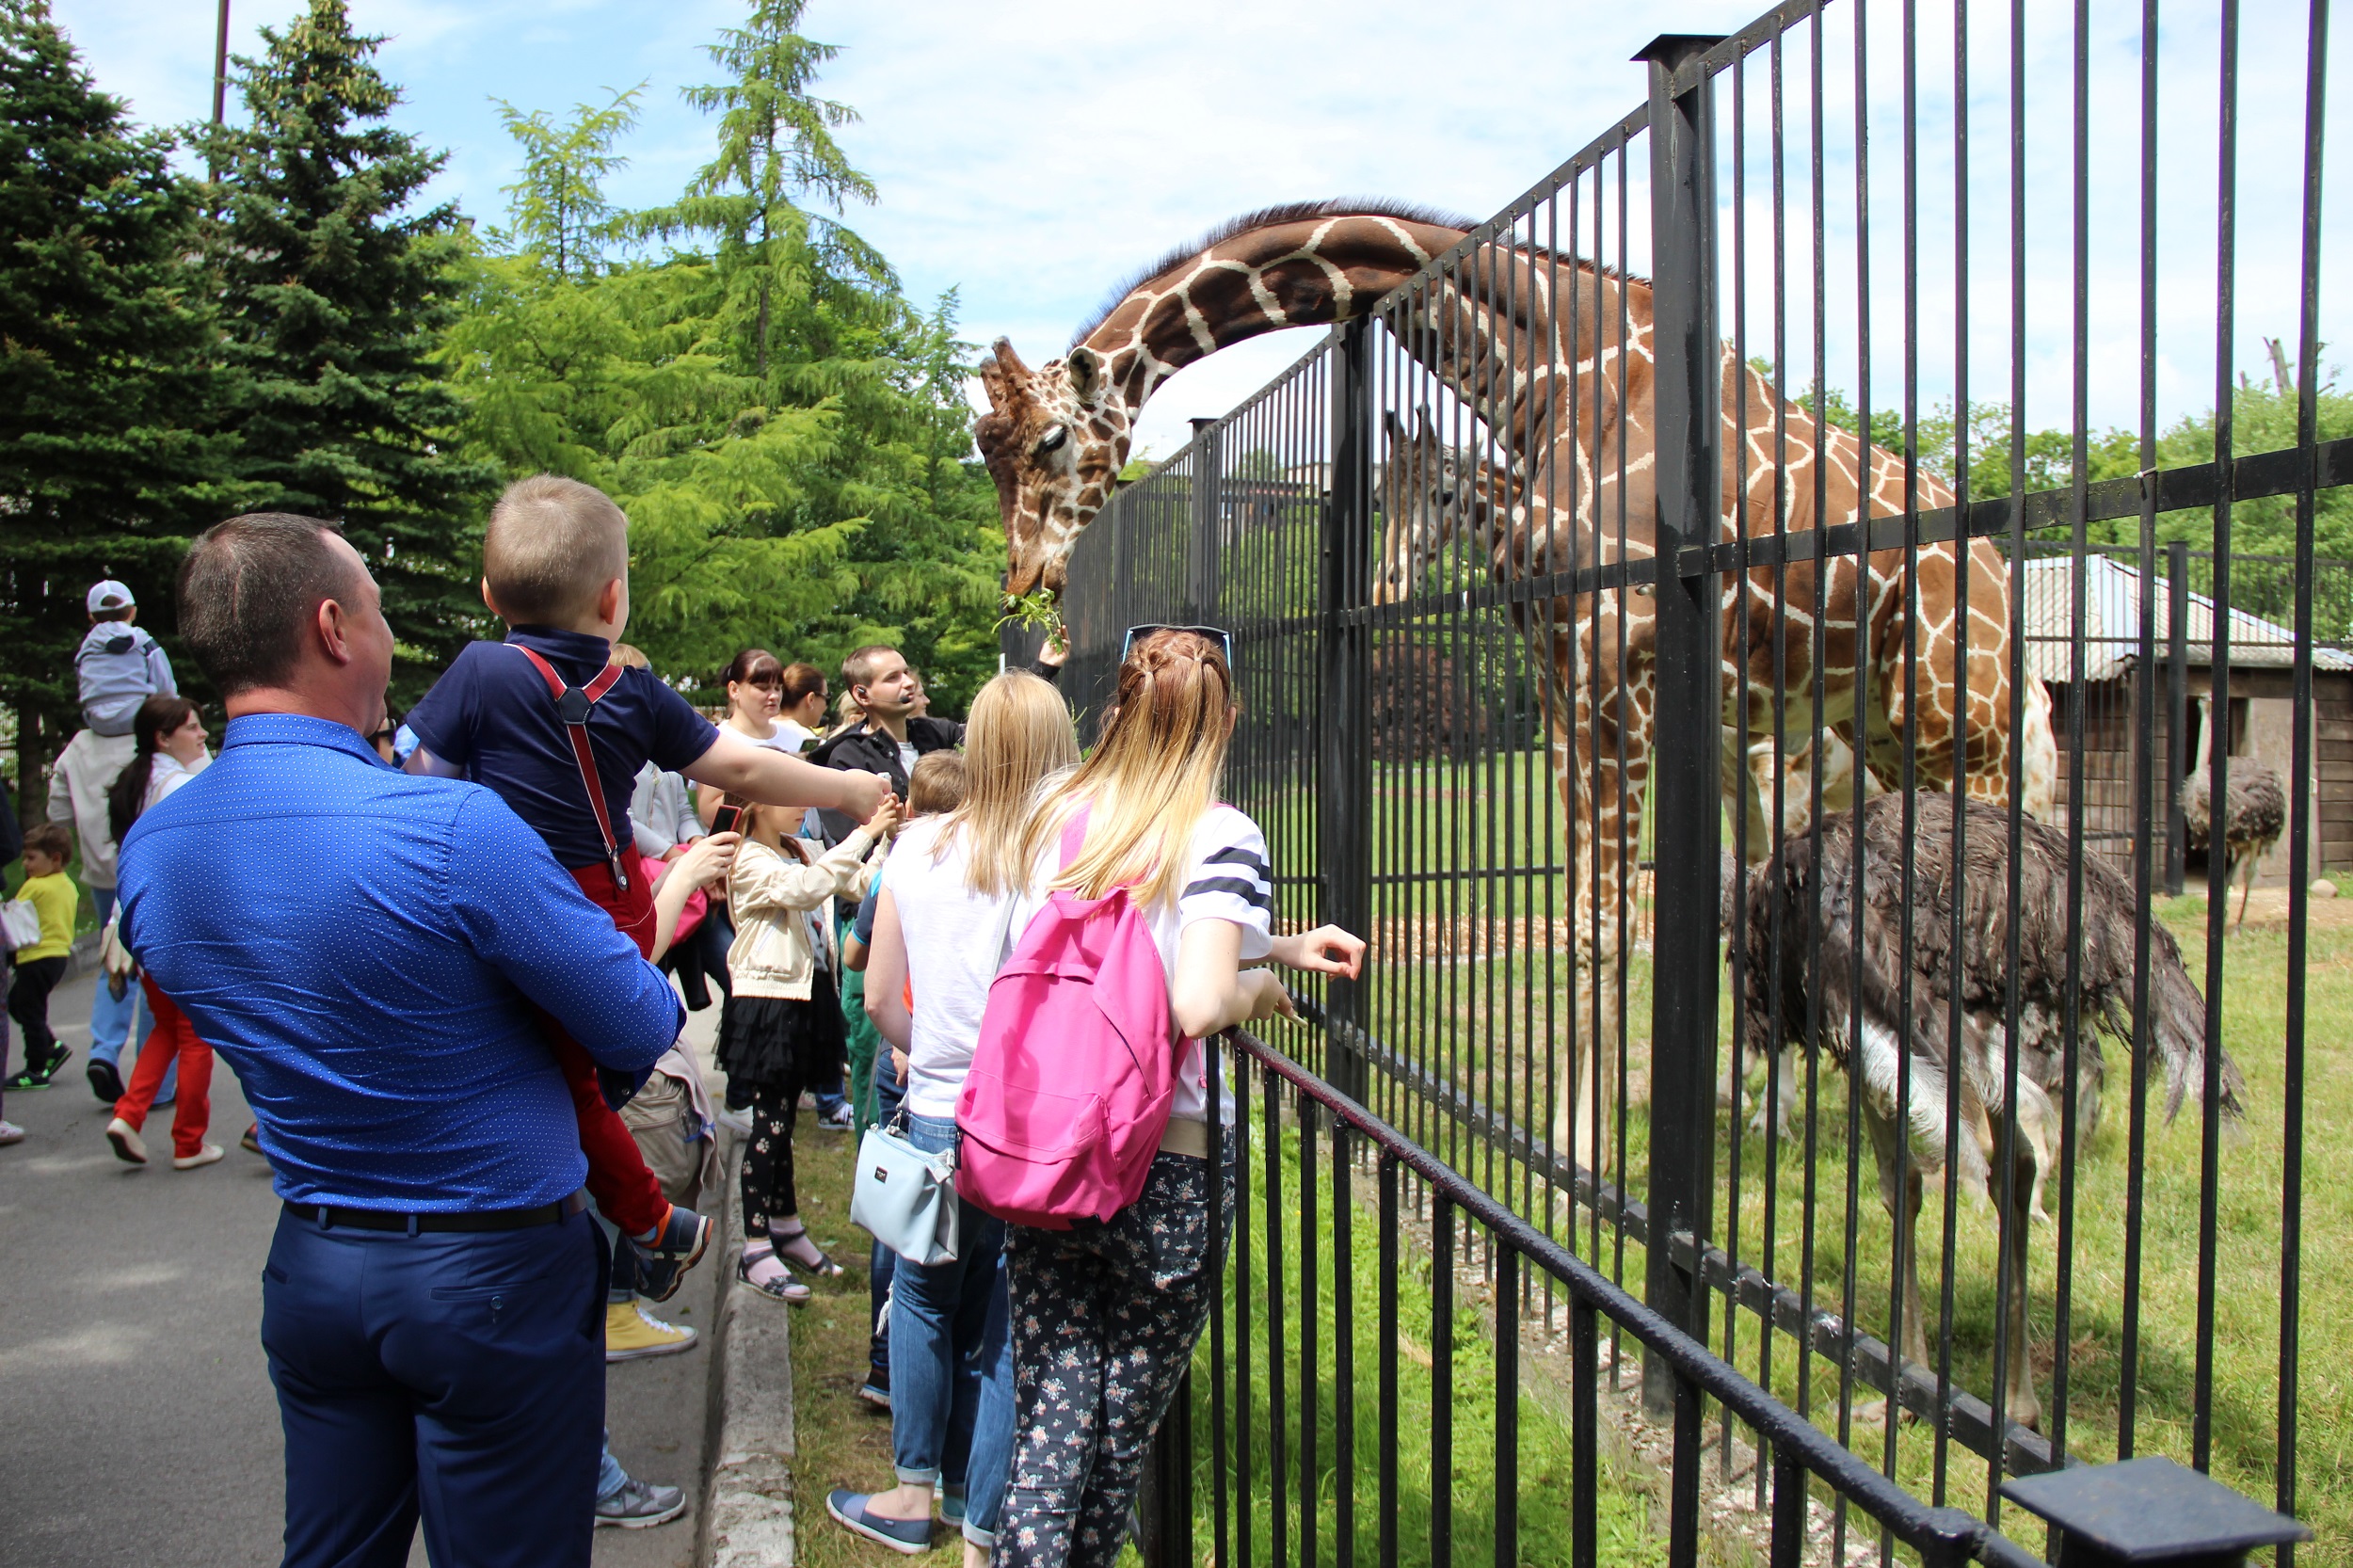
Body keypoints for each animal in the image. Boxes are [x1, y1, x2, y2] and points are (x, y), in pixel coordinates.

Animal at [965, 199, 2052, 1172]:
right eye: (986, 448)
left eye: (1050, 441)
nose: (1023, 577)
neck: (1551, 372)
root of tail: (2004, 576)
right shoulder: (1562, 678)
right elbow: (1582, 923)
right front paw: (1571, 1144)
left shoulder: (1618, 668)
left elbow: (1612, 925)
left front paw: (1590, 1159)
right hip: (1885, 740)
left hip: (1963, 730)